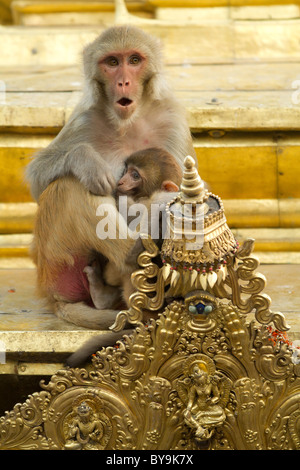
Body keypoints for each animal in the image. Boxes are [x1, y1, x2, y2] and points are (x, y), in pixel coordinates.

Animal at [27, 24, 196, 334]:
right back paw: (131, 254)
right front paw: (87, 161)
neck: (127, 122)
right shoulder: (84, 118)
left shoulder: (173, 121)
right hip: (56, 260)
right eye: (113, 62)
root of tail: (54, 296)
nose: (123, 83)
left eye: (134, 60)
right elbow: (38, 179)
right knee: (70, 185)